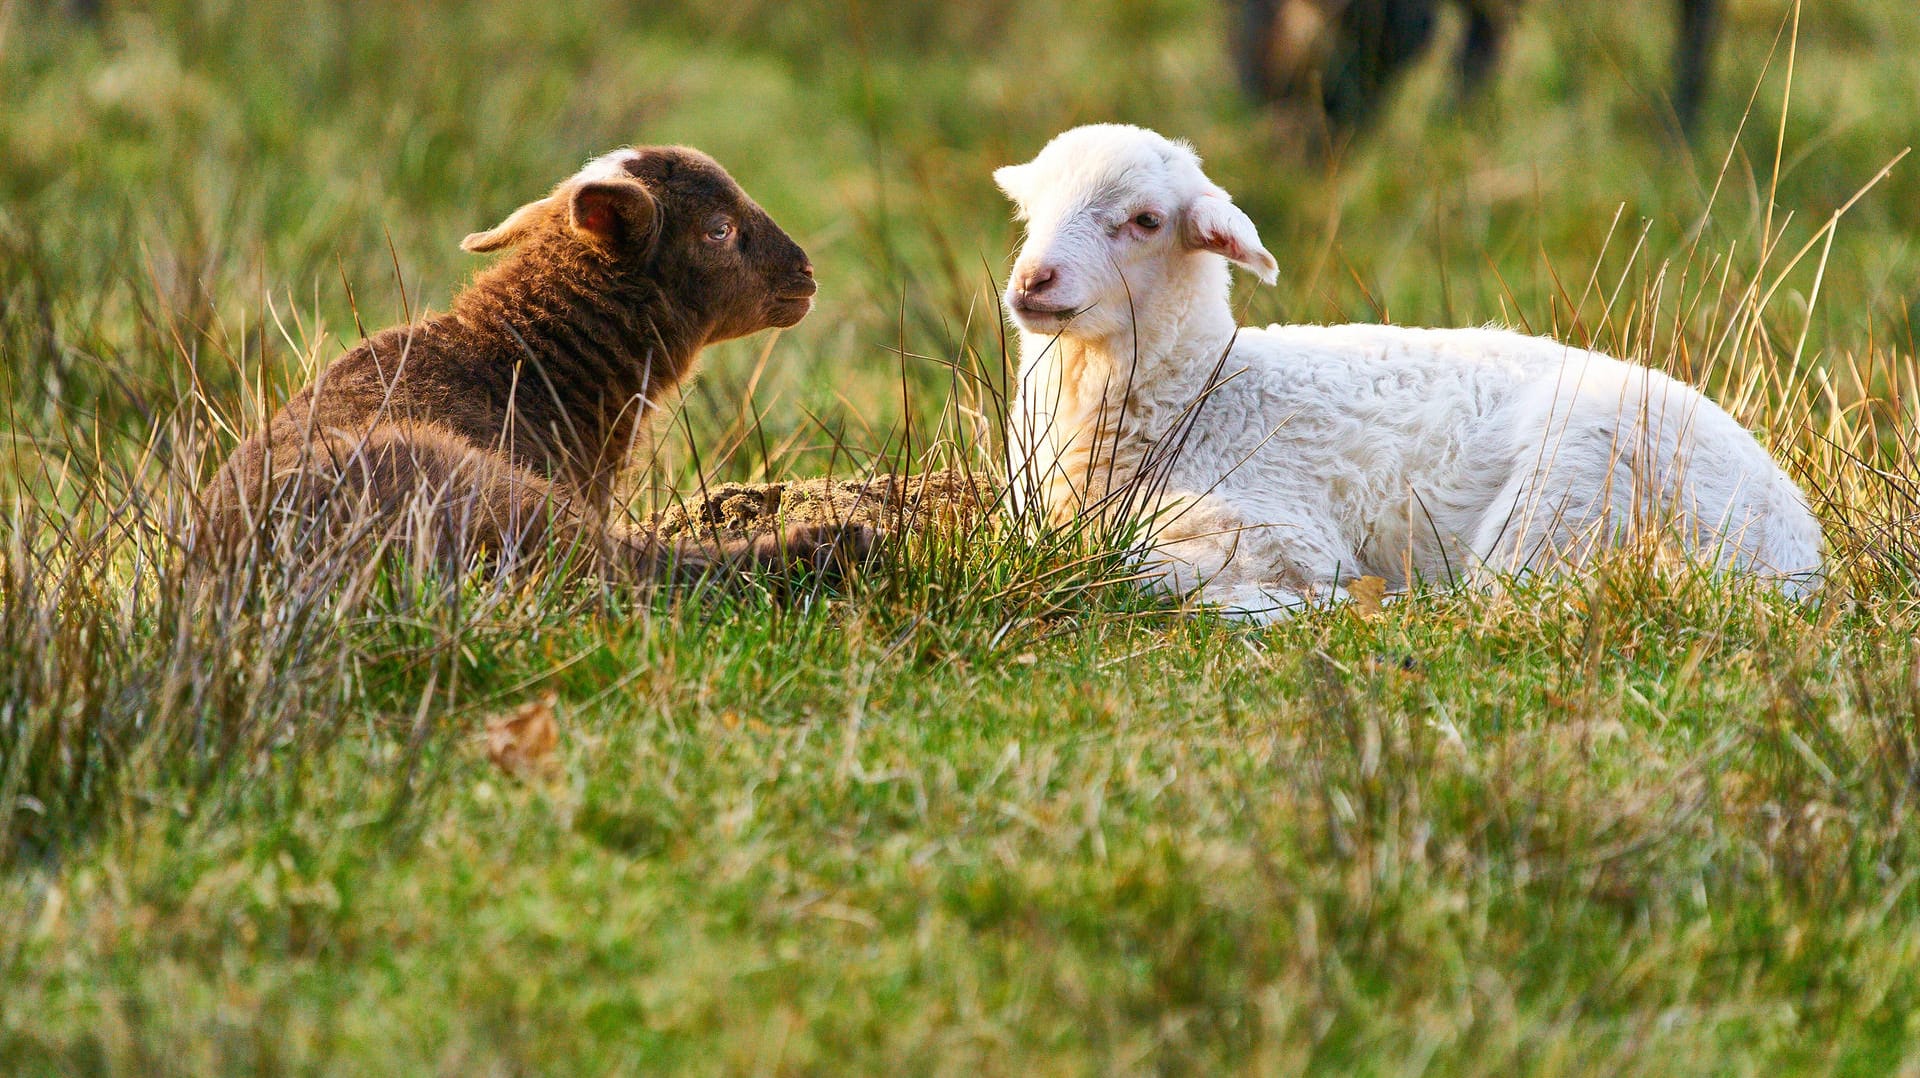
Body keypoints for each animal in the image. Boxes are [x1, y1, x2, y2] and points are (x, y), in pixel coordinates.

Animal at [200, 145, 871, 580]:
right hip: (488, 497)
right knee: (631, 573)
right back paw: (834, 545)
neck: (522, 361)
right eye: (719, 229)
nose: (807, 273)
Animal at [998, 122, 1820, 618]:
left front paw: (1287, 601)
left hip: (1577, 482)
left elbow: (1139, 570)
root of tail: (1799, 550)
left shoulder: (1279, 530)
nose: (1033, 281)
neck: (1202, 398)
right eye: (1030, 210)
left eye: (1146, 220)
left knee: (1501, 597)